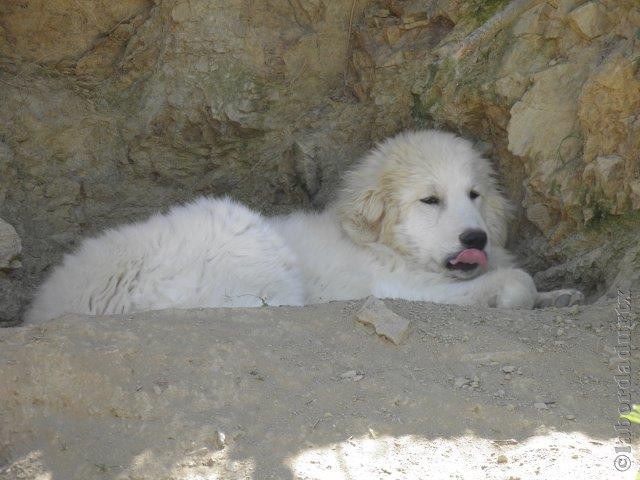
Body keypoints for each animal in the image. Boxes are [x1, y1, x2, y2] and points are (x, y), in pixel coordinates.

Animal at [25, 129, 580, 324]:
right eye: (430, 200)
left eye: (474, 195)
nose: (476, 239)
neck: (382, 245)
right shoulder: (406, 288)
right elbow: (513, 281)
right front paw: (519, 294)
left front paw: (562, 294)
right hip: (244, 232)